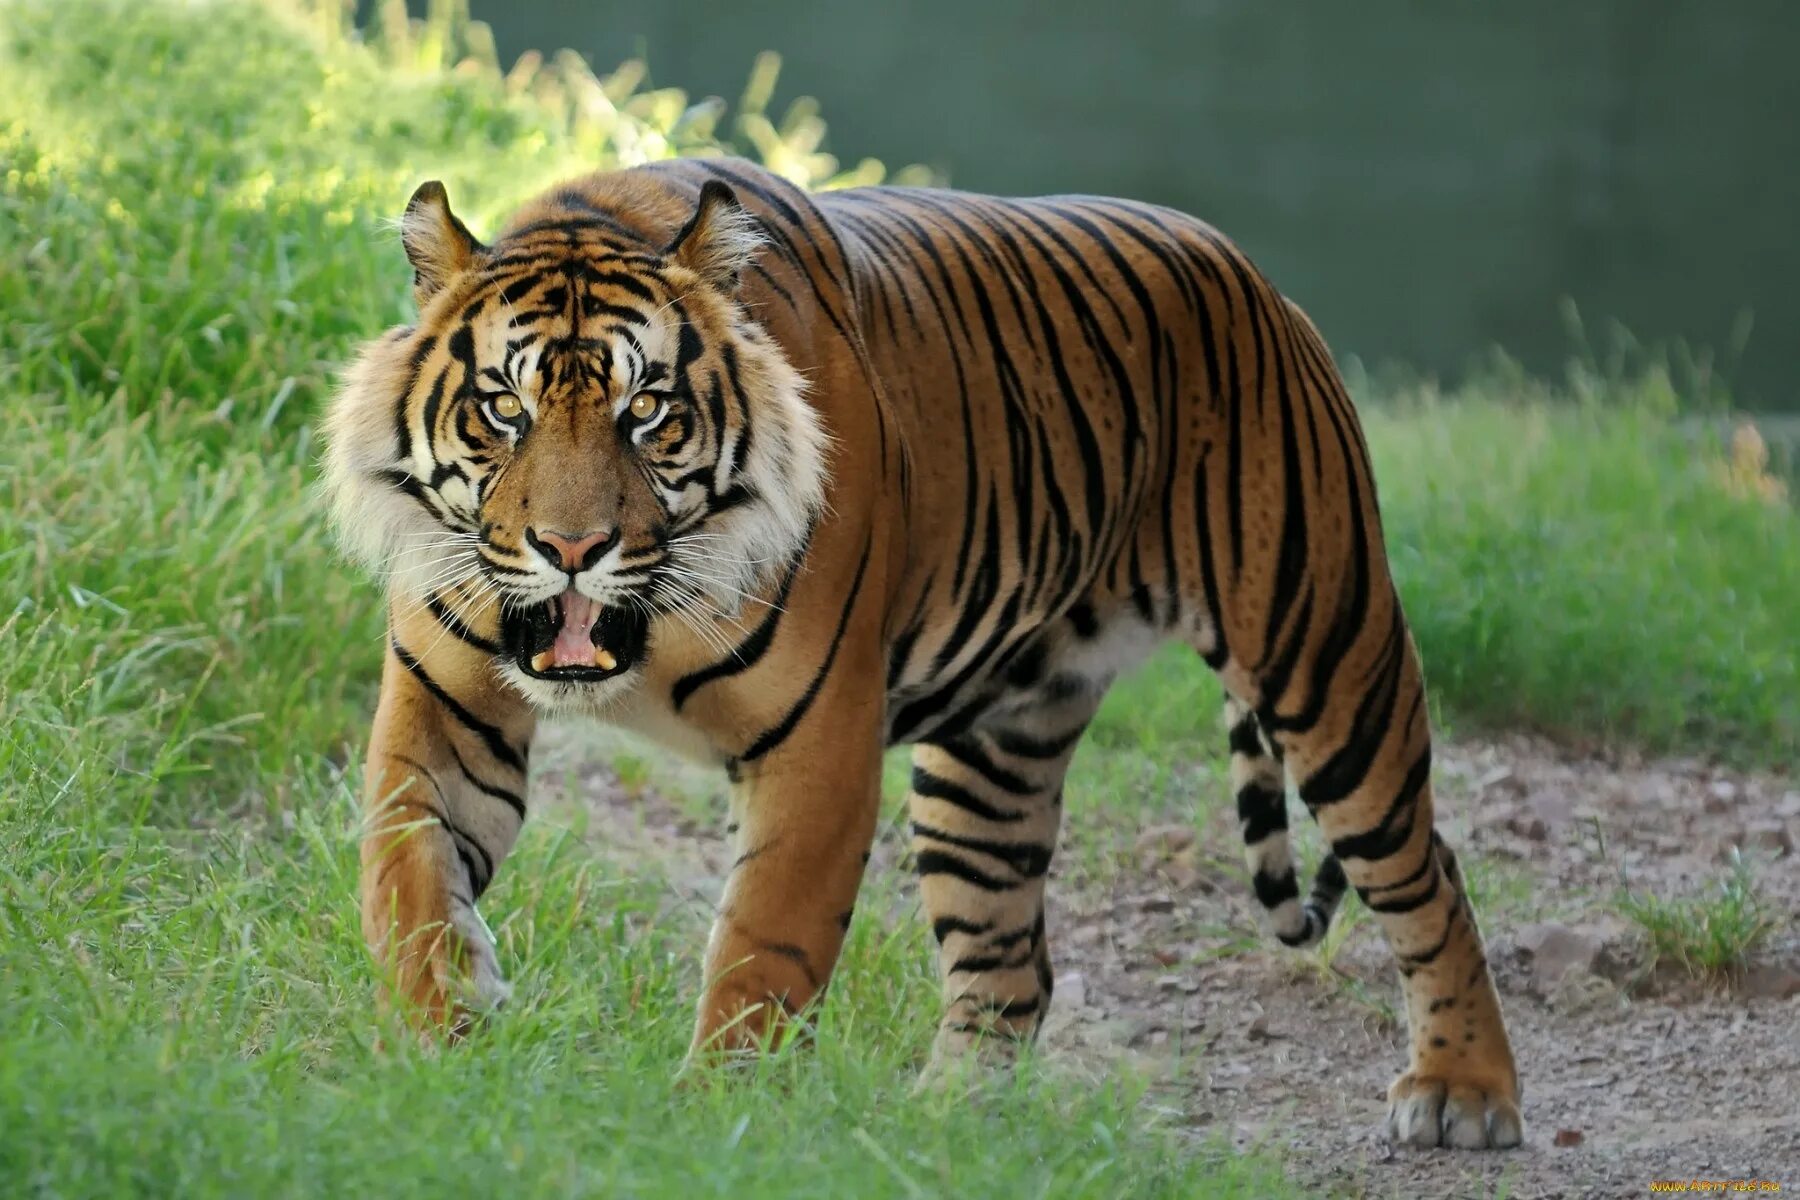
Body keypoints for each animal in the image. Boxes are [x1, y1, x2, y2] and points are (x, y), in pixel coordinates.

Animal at [320, 154, 1519, 1151]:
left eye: (648, 410)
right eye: (503, 409)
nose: (572, 550)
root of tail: (1254, 275)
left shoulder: (818, 748)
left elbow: (763, 951)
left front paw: (711, 1122)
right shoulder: (442, 712)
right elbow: (406, 884)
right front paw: (442, 1047)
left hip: (1325, 650)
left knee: (1427, 872)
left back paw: (1465, 1092)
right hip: (991, 759)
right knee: (1011, 967)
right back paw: (944, 1130)